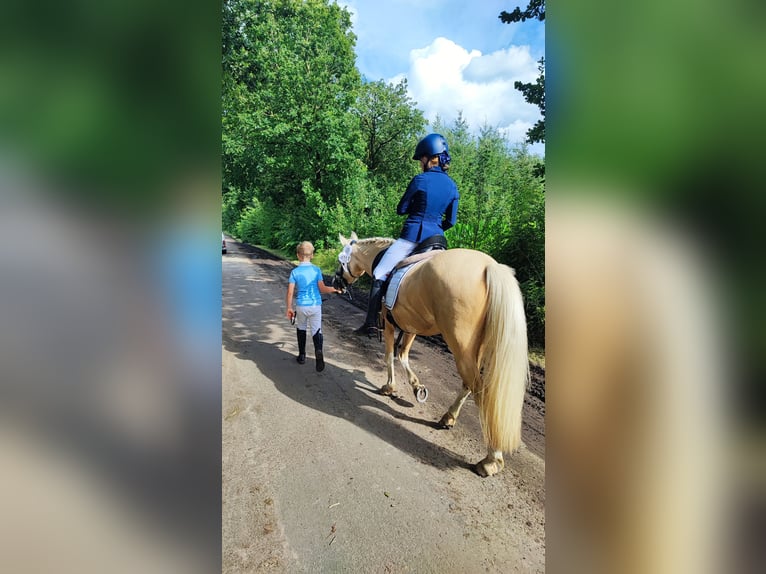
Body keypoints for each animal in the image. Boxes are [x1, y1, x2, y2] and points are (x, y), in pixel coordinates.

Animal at [332, 232, 532, 480]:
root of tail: (489, 266)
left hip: (460, 343)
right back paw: (449, 418)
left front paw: (389, 387)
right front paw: (417, 387)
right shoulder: (410, 325)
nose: (336, 283)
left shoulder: (389, 322)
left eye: (342, 260)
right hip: (475, 347)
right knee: (468, 384)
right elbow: (402, 355)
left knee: (480, 390)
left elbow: (389, 355)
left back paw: (491, 459)